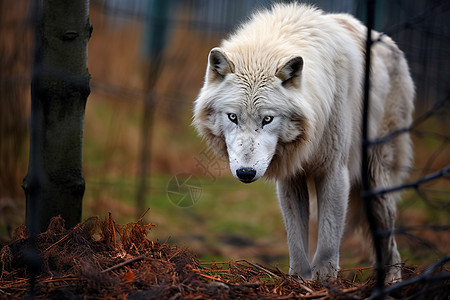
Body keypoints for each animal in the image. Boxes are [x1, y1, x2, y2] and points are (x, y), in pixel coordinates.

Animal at [192, 3, 414, 282]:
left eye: (267, 119)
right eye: (233, 117)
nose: (245, 173)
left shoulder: (333, 171)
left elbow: (329, 235)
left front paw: (324, 280)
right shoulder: (290, 177)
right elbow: (296, 238)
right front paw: (298, 278)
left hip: (376, 183)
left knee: (391, 243)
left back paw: (392, 280)